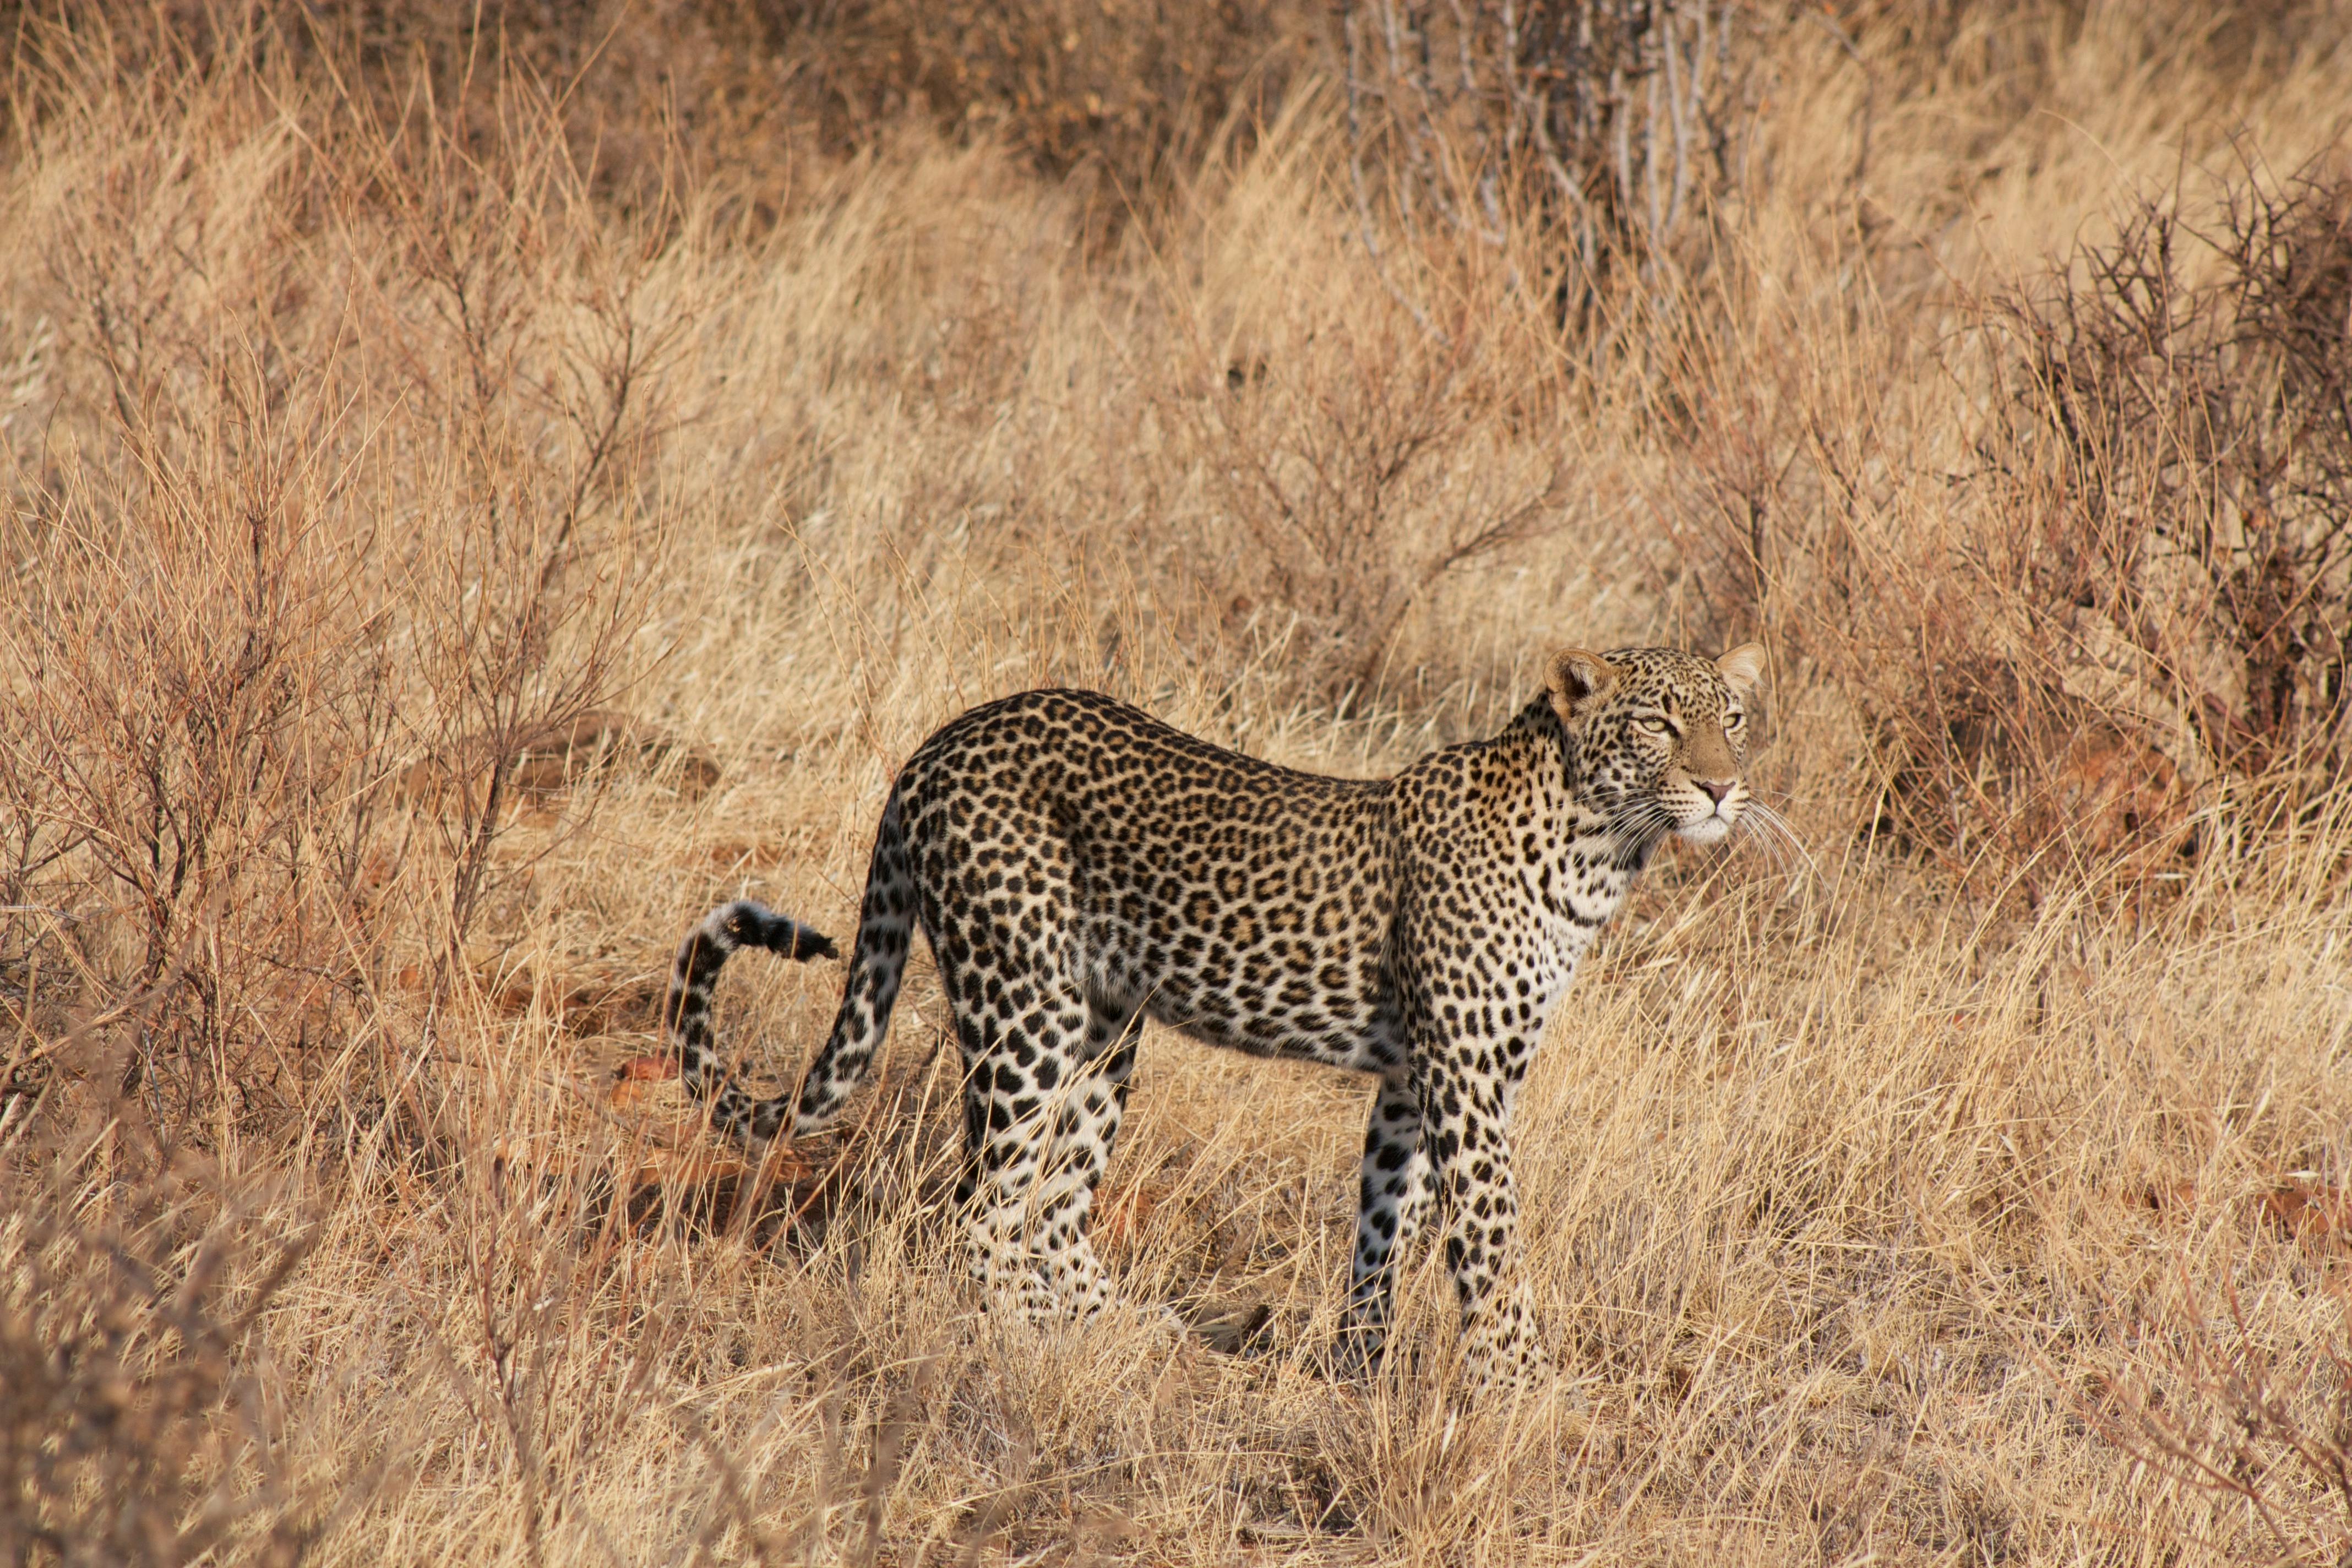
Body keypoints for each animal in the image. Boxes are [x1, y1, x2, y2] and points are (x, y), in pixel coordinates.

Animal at [658, 644, 1768, 1382]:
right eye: (1659, 724)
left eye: (1734, 719)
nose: (1722, 788)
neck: (1596, 846)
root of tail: (941, 740)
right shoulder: (1467, 1079)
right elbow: (1492, 1244)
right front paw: (1523, 1388)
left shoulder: (1415, 1081)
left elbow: (1386, 1226)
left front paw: (1358, 1367)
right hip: (1023, 1007)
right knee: (982, 1208)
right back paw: (1024, 1347)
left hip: (1106, 1026)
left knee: (1055, 1206)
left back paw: (1118, 1333)